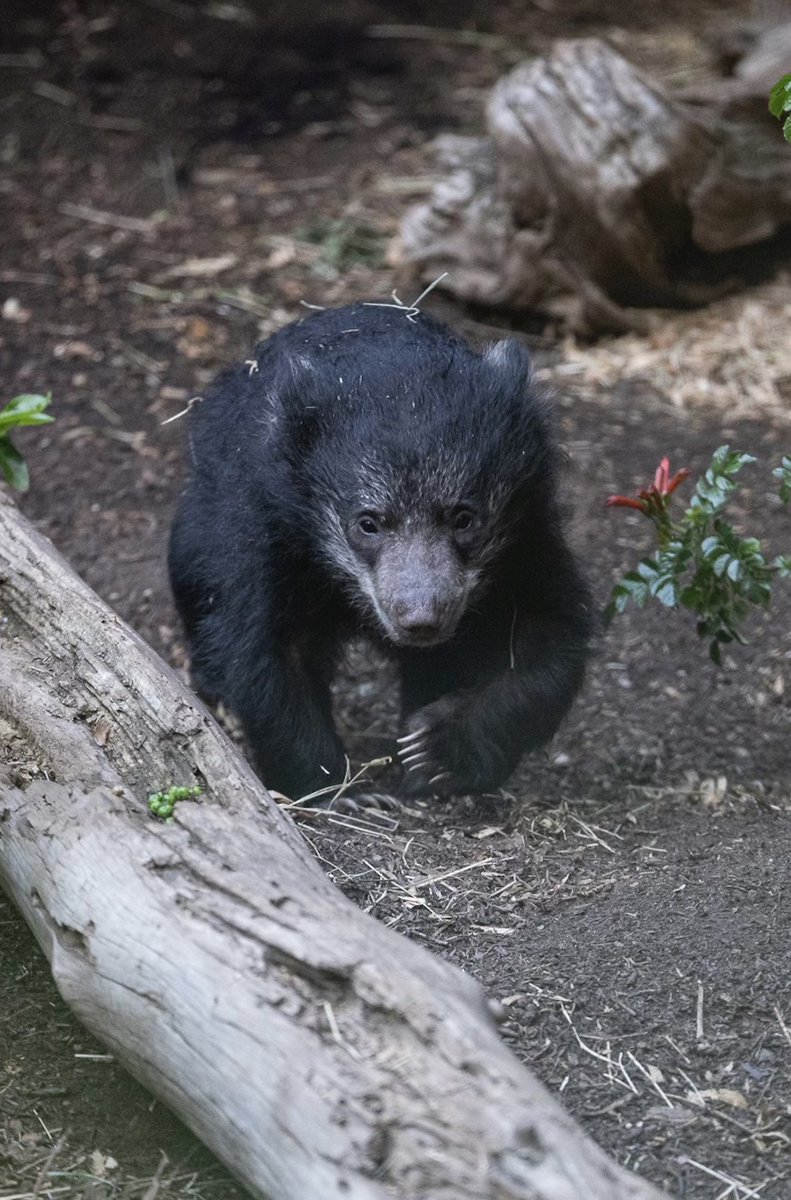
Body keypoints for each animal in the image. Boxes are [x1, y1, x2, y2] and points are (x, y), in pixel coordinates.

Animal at [168, 303, 593, 800]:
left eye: (464, 518)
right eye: (368, 523)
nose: (421, 619)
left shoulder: (526, 533)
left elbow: (545, 635)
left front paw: (433, 751)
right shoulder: (266, 530)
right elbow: (267, 655)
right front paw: (338, 790)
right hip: (198, 525)